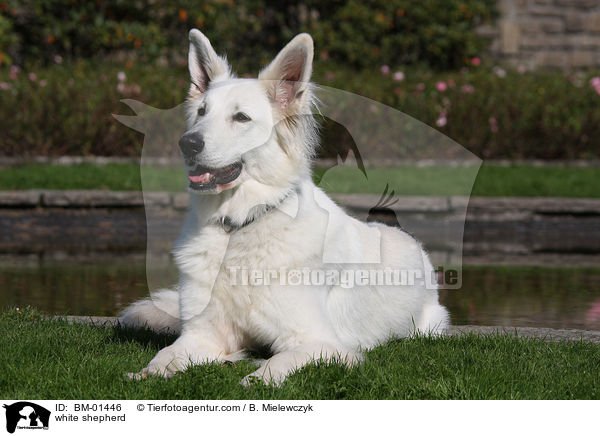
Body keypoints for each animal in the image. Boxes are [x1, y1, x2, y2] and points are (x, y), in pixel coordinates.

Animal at [120, 29, 450, 384]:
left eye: (241, 117)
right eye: (202, 112)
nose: (187, 143)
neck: (239, 226)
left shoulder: (320, 343)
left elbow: (271, 368)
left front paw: (252, 377)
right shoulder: (202, 334)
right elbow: (163, 359)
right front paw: (146, 374)